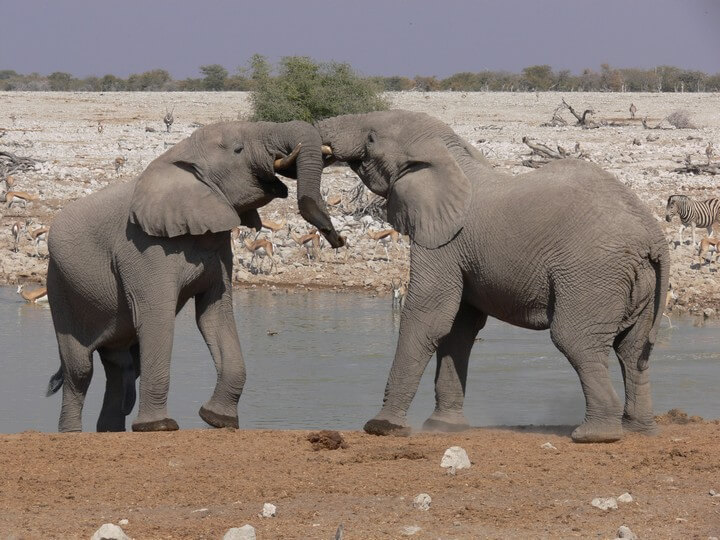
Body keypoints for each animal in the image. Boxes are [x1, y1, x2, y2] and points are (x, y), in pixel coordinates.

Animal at [46, 120, 343, 433]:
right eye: (238, 150)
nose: (337, 238)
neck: (182, 154)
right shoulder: (142, 249)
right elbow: (156, 318)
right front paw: (159, 427)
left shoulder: (219, 248)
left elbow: (214, 315)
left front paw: (218, 420)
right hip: (60, 287)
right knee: (80, 370)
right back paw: (73, 435)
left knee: (121, 367)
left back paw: (110, 433)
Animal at [316, 110, 669, 443]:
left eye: (371, 138)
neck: (452, 154)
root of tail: (653, 235)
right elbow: (459, 328)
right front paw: (444, 427)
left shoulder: (443, 242)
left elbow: (430, 315)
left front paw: (382, 427)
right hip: (639, 283)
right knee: (633, 351)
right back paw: (638, 430)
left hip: (592, 274)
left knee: (576, 341)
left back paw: (594, 435)